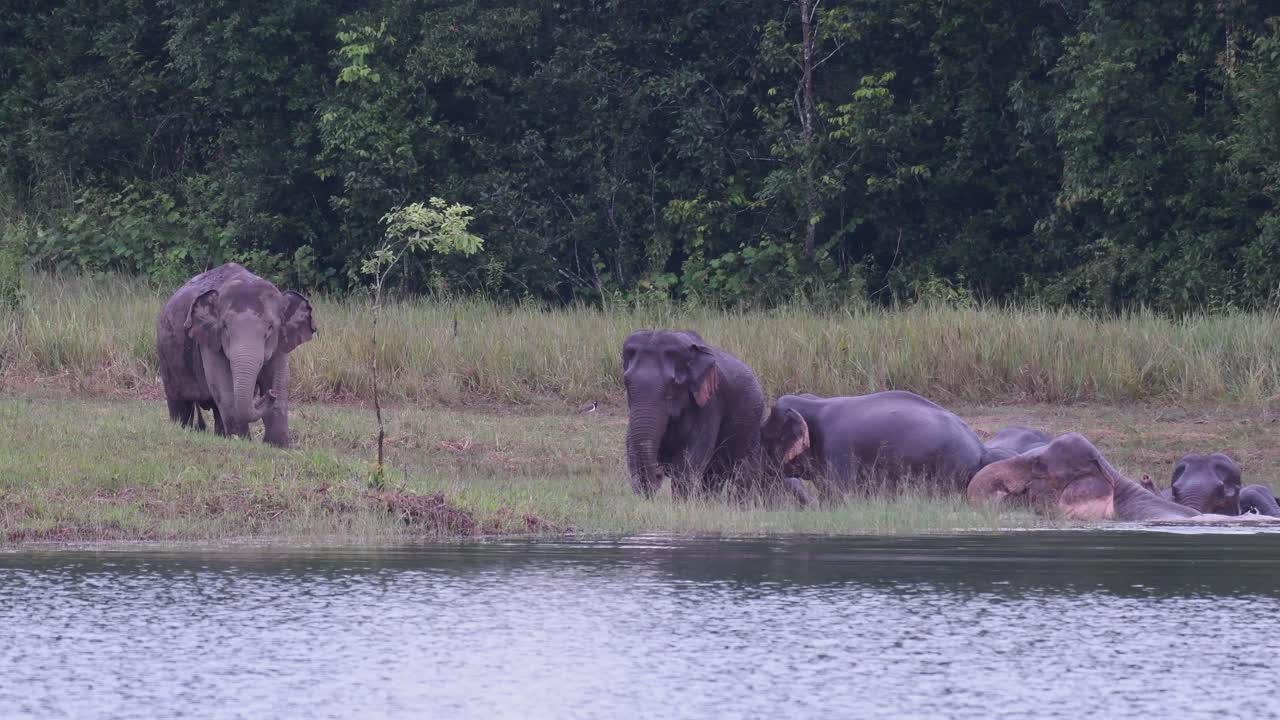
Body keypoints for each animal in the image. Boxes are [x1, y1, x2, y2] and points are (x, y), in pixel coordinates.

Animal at [157, 263, 316, 447]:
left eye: (271, 328)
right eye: (225, 326)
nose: (270, 393)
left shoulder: (281, 343)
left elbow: (280, 381)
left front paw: (278, 445)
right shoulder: (210, 340)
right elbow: (224, 386)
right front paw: (243, 441)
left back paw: (221, 435)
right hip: (166, 358)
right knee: (179, 403)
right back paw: (181, 428)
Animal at [621, 329, 770, 500]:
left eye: (674, 384)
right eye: (626, 381)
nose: (658, 472)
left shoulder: (711, 401)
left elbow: (692, 457)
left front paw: (680, 502)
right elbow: (631, 445)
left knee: (742, 472)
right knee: (714, 476)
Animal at [759, 391, 986, 500]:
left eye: (765, 438)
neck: (815, 405)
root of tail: (980, 448)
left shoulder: (838, 449)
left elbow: (840, 494)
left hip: (952, 468)